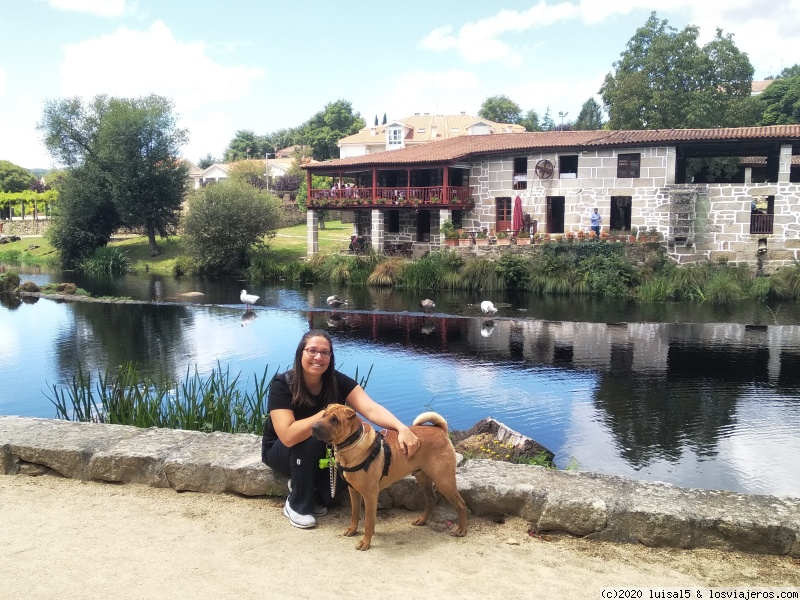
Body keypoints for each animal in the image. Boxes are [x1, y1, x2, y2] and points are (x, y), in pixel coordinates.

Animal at [310, 406, 466, 552]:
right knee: (431, 499)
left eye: (334, 419)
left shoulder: (370, 495)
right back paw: (421, 520)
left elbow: (367, 521)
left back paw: (461, 529)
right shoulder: (353, 491)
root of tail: (440, 430)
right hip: (423, 477)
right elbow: (355, 513)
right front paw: (353, 530)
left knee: (461, 504)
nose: (313, 427)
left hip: (444, 481)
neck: (352, 442)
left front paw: (365, 542)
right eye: (323, 415)